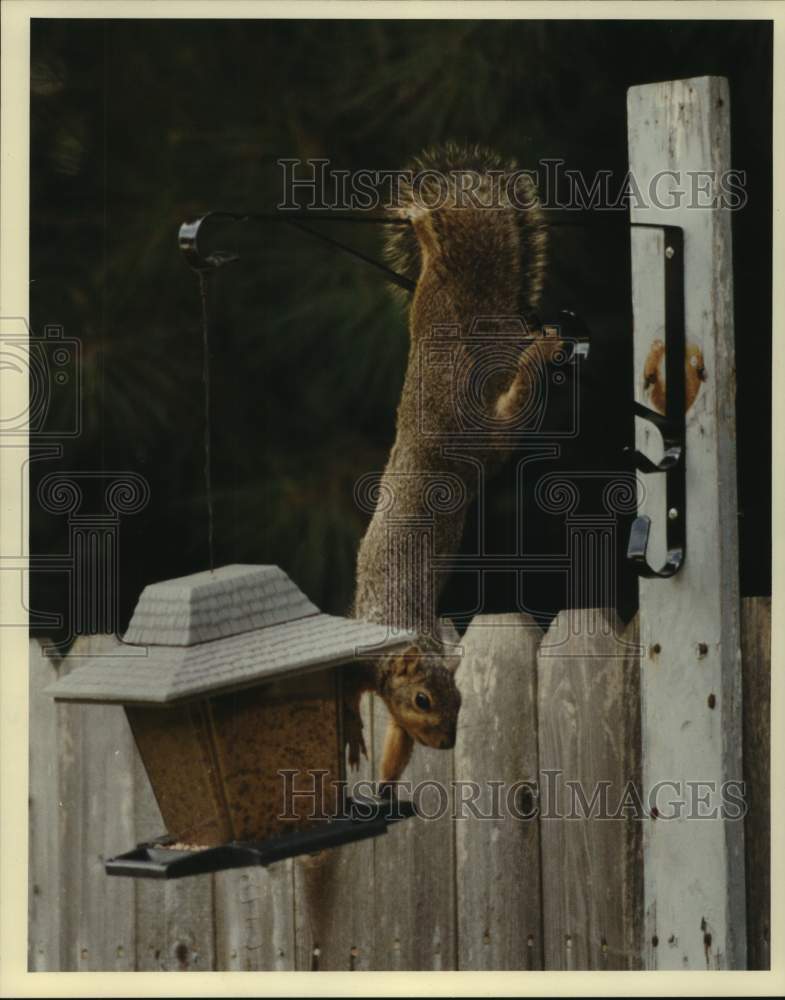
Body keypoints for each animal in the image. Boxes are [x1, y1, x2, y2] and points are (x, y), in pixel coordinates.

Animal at [347, 142, 553, 785]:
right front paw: (384, 778)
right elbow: (391, 738)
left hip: (476, 406)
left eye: (462, 700)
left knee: (517, 401)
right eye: (424, 700)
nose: (450, 742)